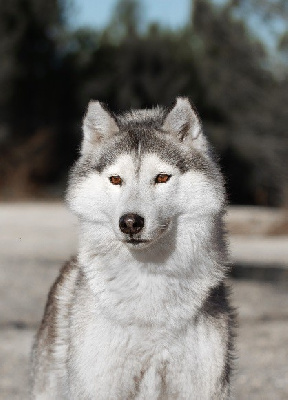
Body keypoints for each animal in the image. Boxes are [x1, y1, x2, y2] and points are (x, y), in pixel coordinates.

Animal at [31, 97, 234, 400]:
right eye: (116, 179)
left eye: (161, 178)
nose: (130, 222)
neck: (148, 278)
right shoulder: (98, 386)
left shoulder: (202, 387)